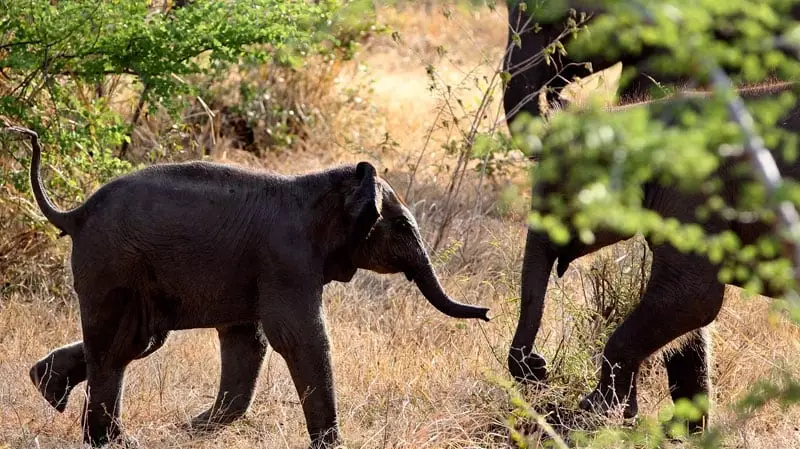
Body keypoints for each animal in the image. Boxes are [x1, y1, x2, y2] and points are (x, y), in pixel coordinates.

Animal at [10, 126, 490, 449]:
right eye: (404, 228)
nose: (487, 313)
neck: (324, 184)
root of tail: (74, 213)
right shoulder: (287, 260)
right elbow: (298, 337)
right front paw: (331, 445)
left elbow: (248, 340)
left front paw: (195, 428)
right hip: (113, 266)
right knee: (117, 347)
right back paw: (107, 438)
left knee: (134, 343)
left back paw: (49, 390)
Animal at [501, 1, 800, 433]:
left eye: (554, 196)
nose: (538, 367)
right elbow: (691, 316)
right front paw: (679, 432)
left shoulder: (692, 189)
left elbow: (691, 297)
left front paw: (593, 415)